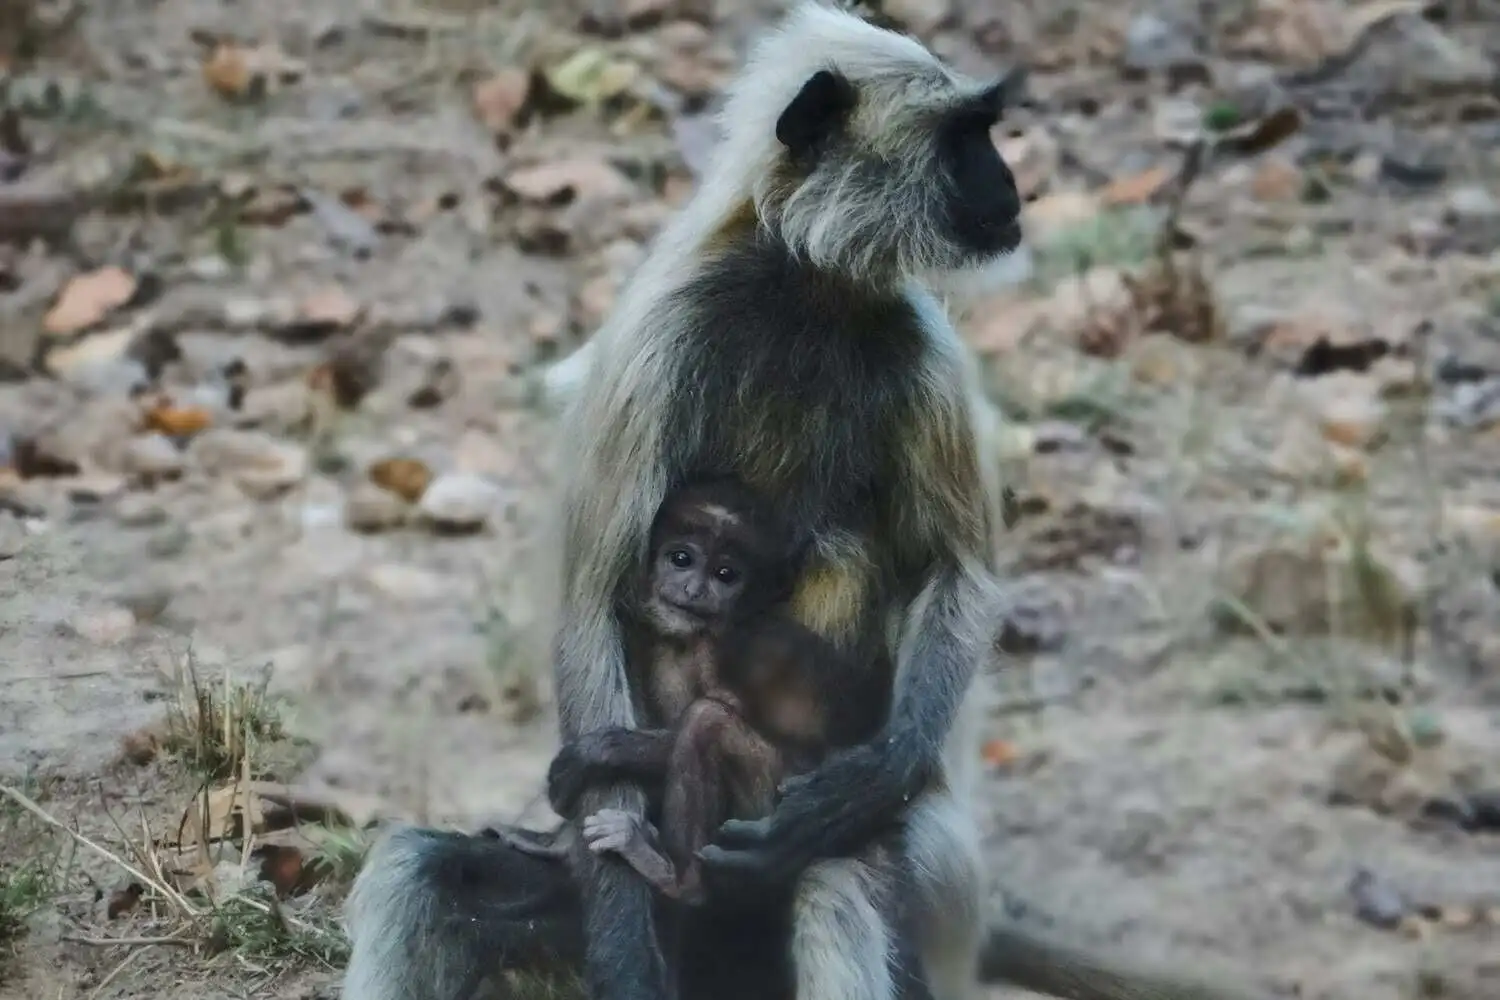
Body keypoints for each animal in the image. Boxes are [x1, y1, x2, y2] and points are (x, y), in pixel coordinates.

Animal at [341, 5, 1281, 1000]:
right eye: (966, 138)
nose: (1009, 184)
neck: (806, 288)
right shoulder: (658, 339)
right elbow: (591, 605)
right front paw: (625, 951)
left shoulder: (921, 345)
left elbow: (961, 574)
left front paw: (866, 779)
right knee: (416, 872)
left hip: (915, 893)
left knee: (835, 886)